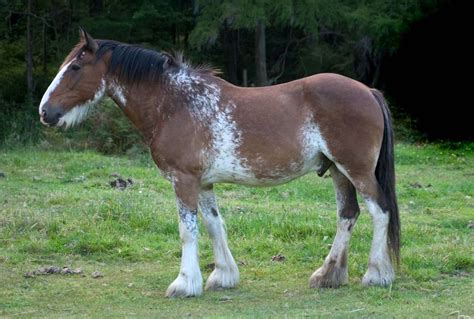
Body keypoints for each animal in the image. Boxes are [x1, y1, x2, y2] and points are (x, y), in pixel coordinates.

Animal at [39, 28, 400, 300]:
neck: (177, 104)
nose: (45, 111)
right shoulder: (204, 182)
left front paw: (185, 283)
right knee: (348, 215)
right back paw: (329, 275)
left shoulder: (183, 179)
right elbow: (214, 224)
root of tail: (368, 91)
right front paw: (223, 276)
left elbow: (188, 230)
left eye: (74, 68)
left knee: (379, 211)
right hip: (338, 172)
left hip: (356, 170)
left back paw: (376, 275)